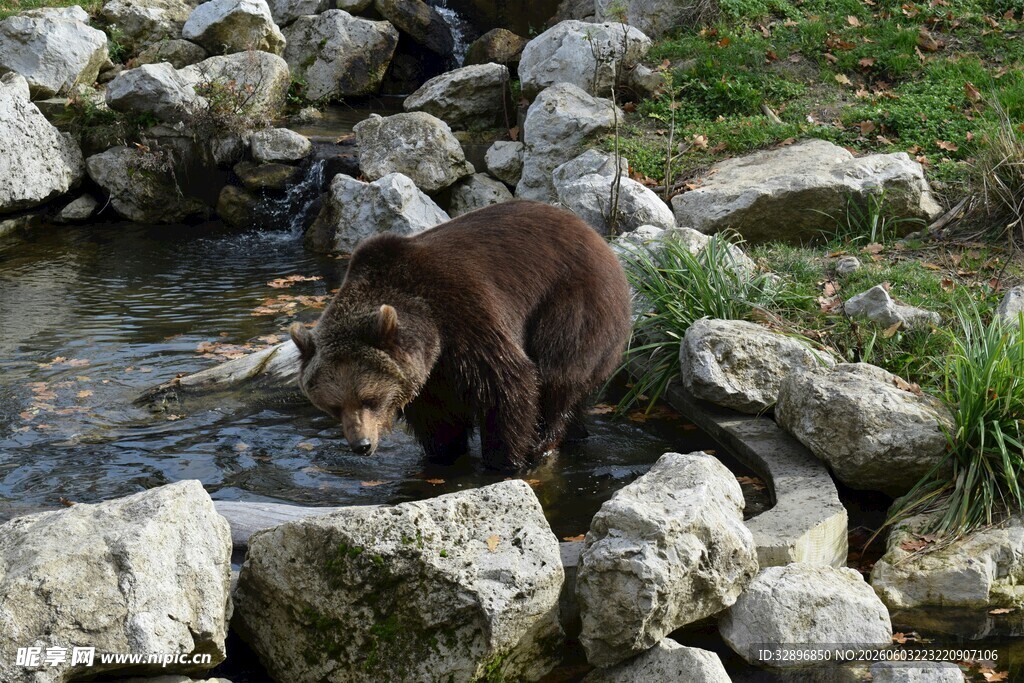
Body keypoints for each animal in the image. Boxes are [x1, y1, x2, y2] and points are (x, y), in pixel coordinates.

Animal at [289, 199, 632, 470]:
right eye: (333, 406)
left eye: (369, 399)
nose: (361, 445)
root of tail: (596, 236)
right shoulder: (430, 375)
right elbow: (438, 418)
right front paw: (443, 453)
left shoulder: (465, 316)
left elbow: (508, 383)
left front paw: (506, 459)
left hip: (572, 303)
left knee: (558, 375)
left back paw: (544, 443)